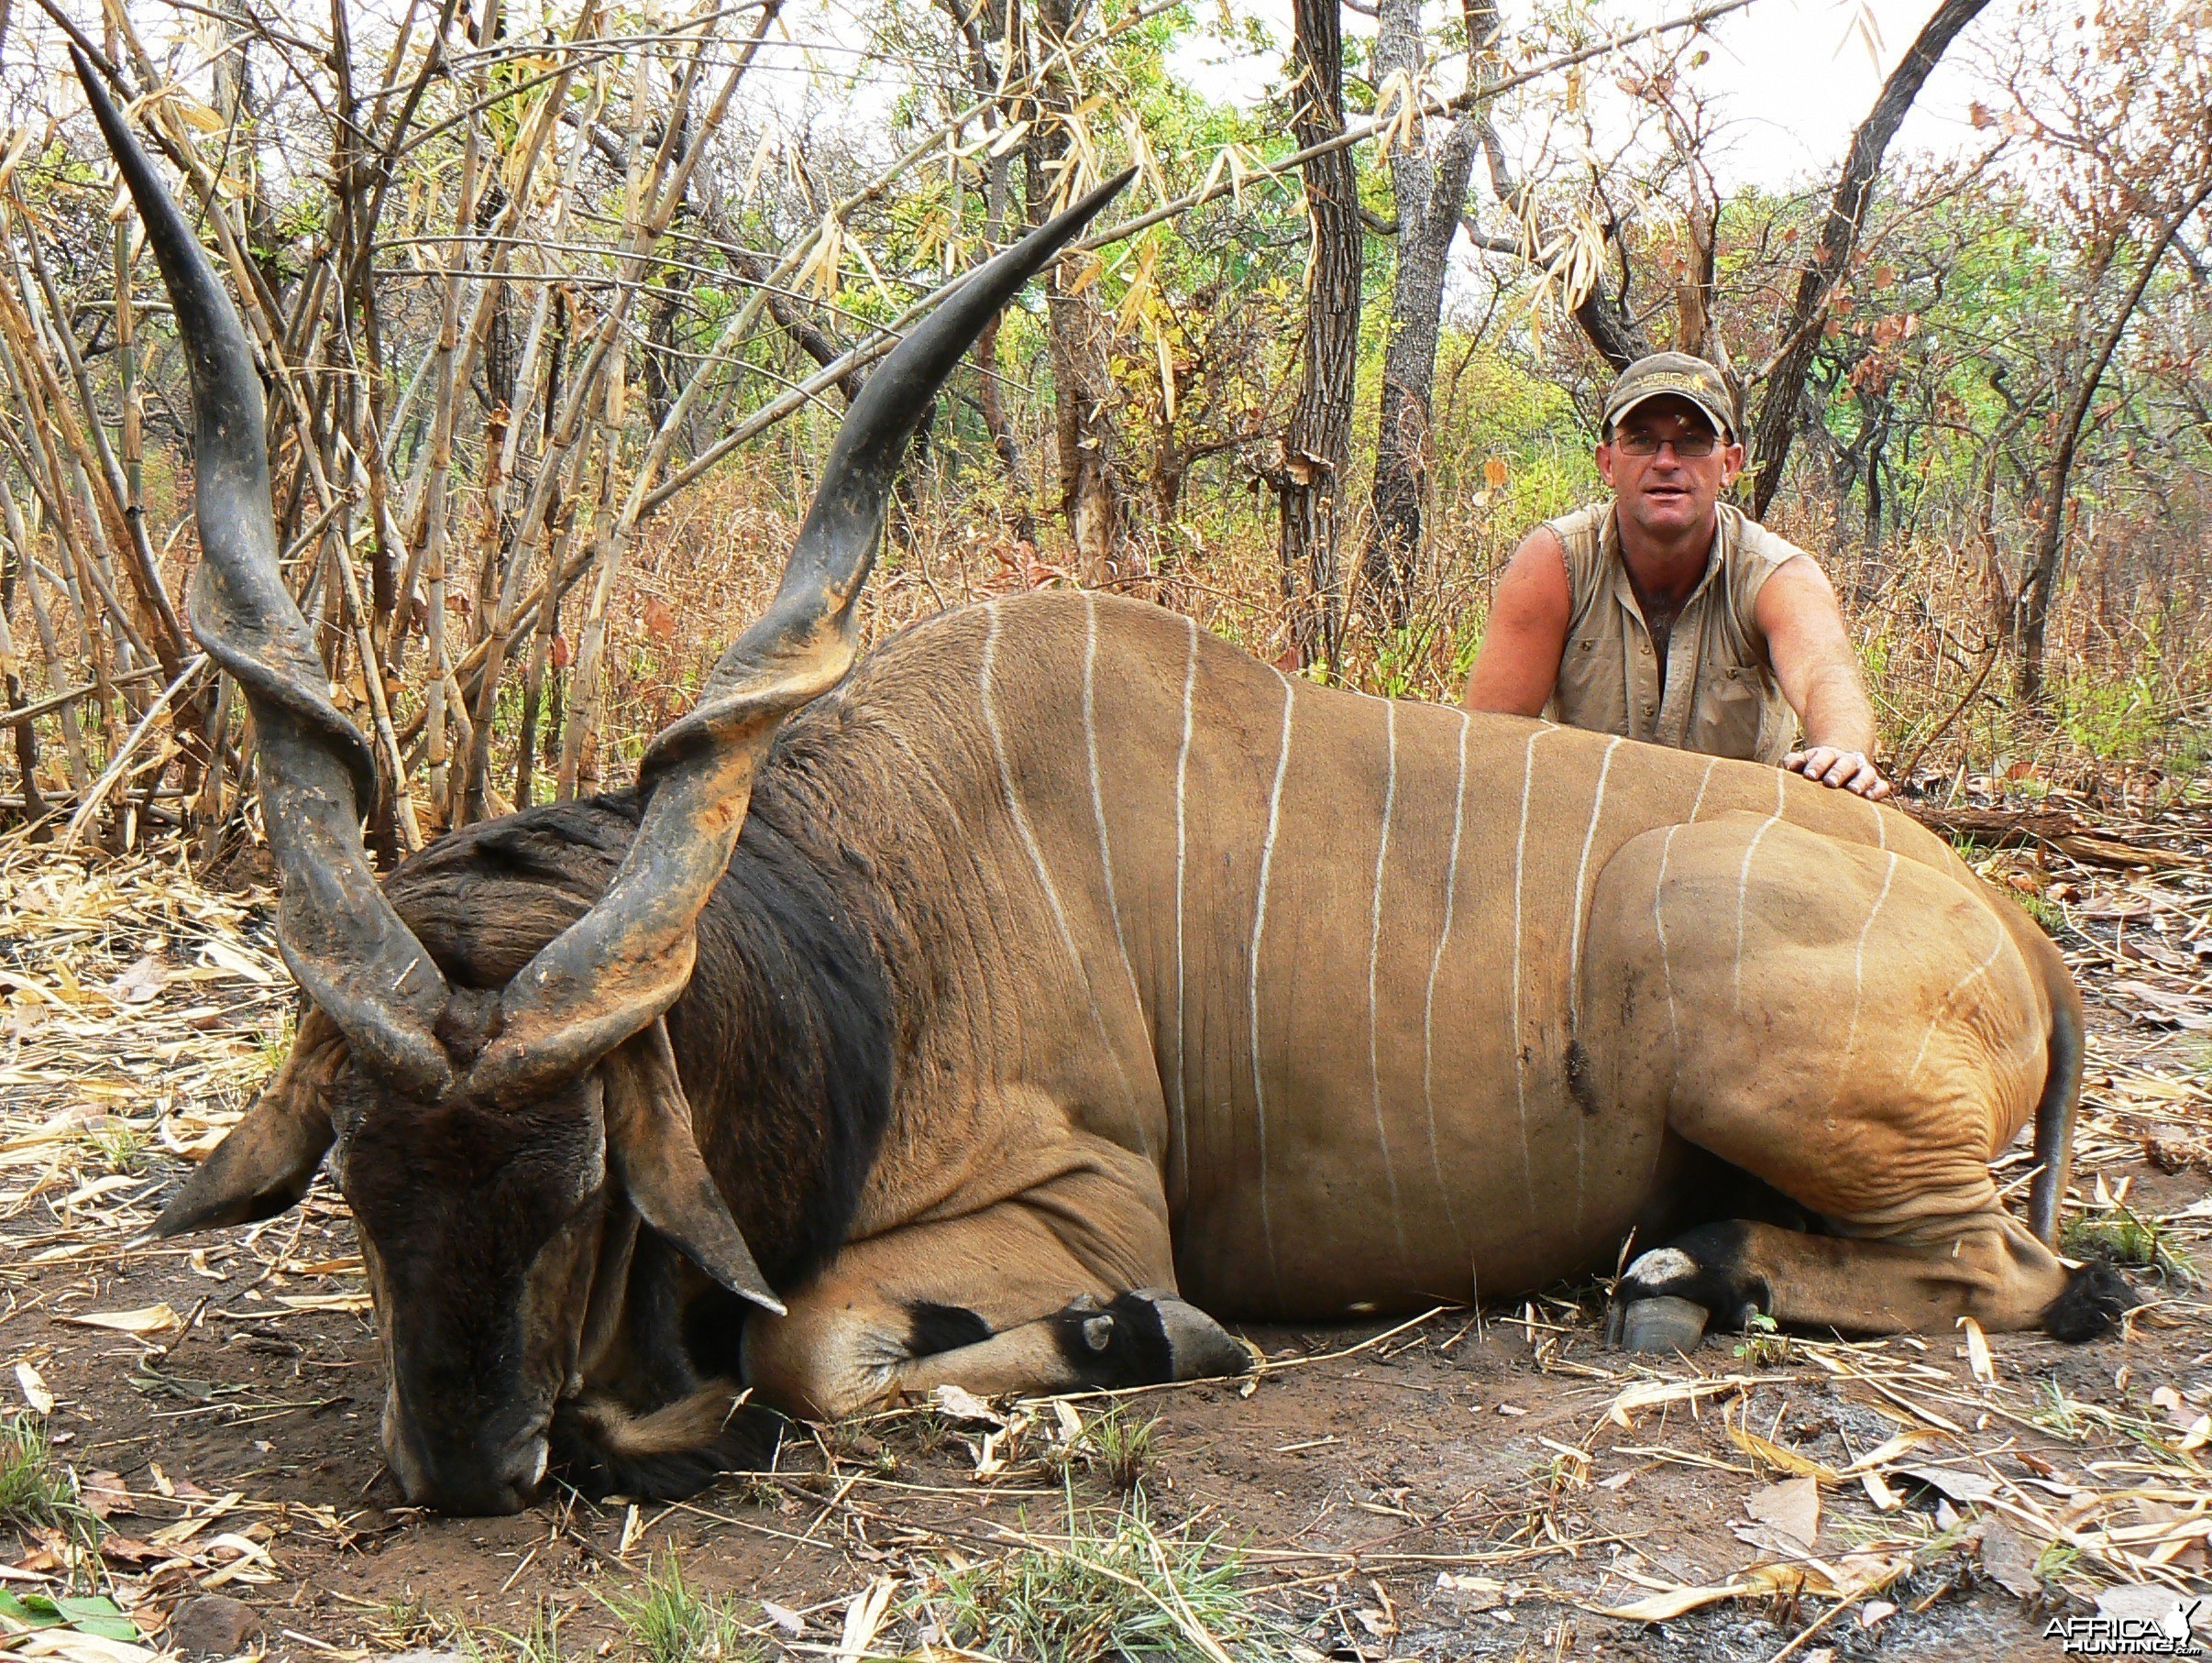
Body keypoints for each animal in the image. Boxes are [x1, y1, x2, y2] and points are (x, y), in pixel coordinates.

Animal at [78, 55, 2132, 1521]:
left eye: (587, 1175)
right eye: (356, 1176)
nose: (462, 1462)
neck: (879, 909)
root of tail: (2018, 930)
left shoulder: (1083, 1198)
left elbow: (810, 1356)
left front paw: (1146, 1333)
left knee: (2041, 1278)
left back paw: (1683, 1275)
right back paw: (1686, 1267)